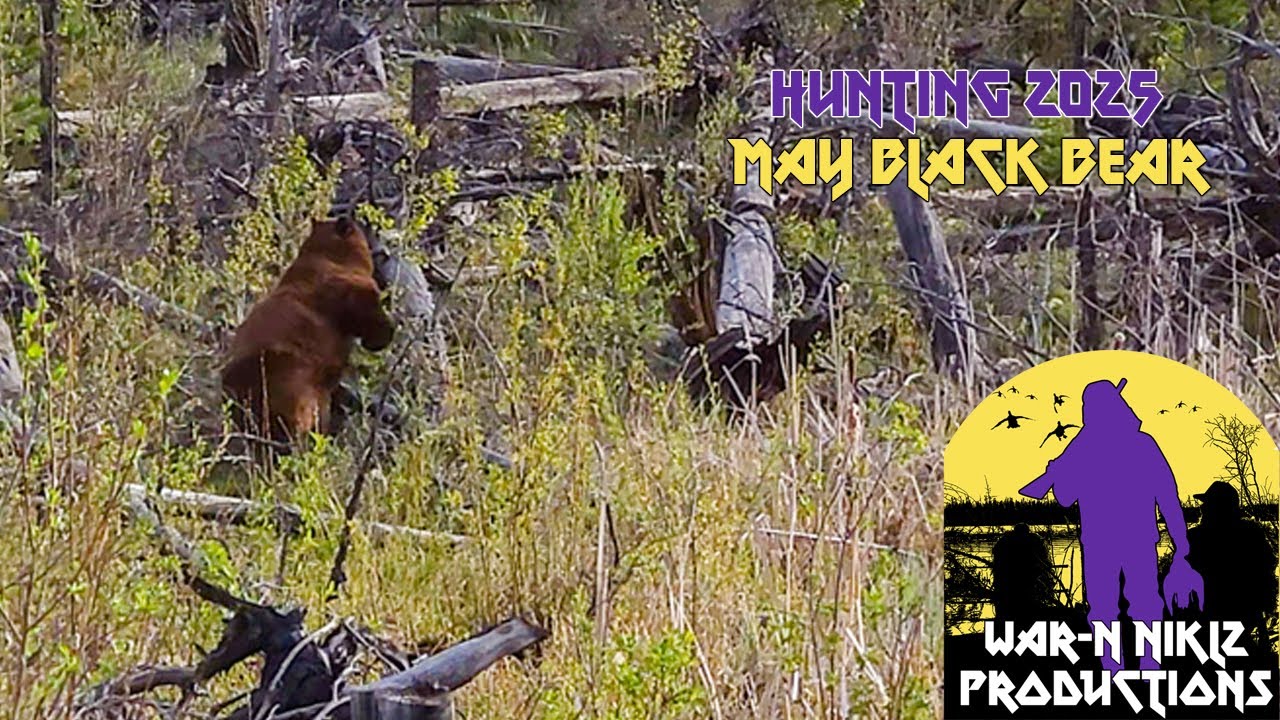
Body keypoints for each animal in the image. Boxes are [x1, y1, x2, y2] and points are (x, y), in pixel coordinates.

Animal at [221, 216, 394, 445]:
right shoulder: (343, 288)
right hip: (286, 382)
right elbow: (366, 312)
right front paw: (381, 336)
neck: (329, 256)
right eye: (365, 234)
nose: (382, 250)